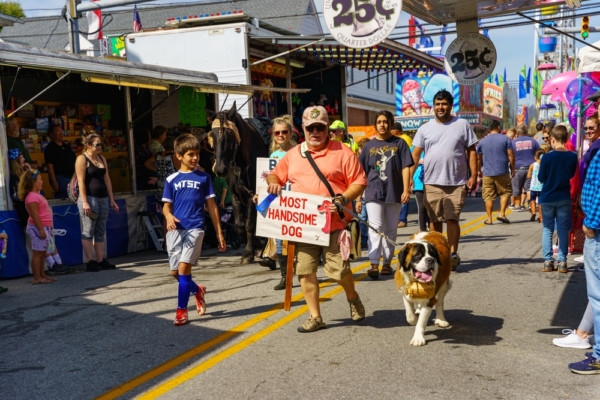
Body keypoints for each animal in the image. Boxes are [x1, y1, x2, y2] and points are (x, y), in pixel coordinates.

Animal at [207, 103, 270, 264]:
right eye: (212, 135)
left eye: (230, 136)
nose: (220, 169)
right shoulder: (236, 193)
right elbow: (240, 225)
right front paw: (256, 246)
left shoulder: (253, 194)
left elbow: (250, 224)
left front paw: (248, 253)